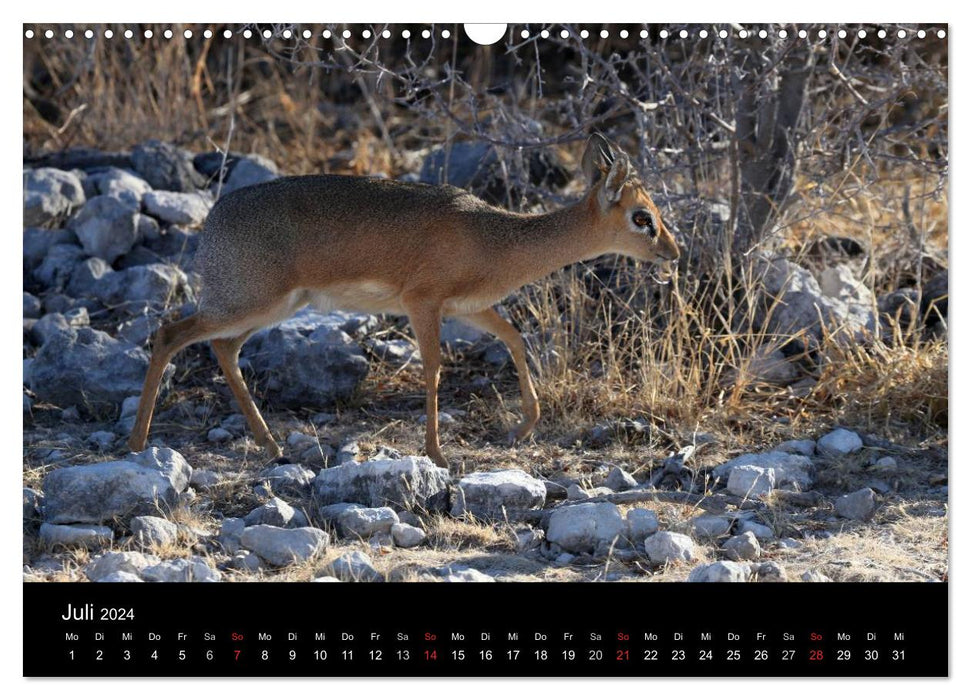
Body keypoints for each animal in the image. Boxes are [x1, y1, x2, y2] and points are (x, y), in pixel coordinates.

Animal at [127, 131, 676, 470]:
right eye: (642, 217)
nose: (673, 252)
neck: (495, 238)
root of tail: (213, 218)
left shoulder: (468, 308)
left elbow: (517, 340)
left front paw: (524, 428)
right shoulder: (422, 302)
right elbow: (433, 369)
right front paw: (436, 454)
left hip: (273, 307)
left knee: (223, 348)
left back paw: (270, 443)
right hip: (251, 303)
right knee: (169, 334)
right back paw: (137, 443)